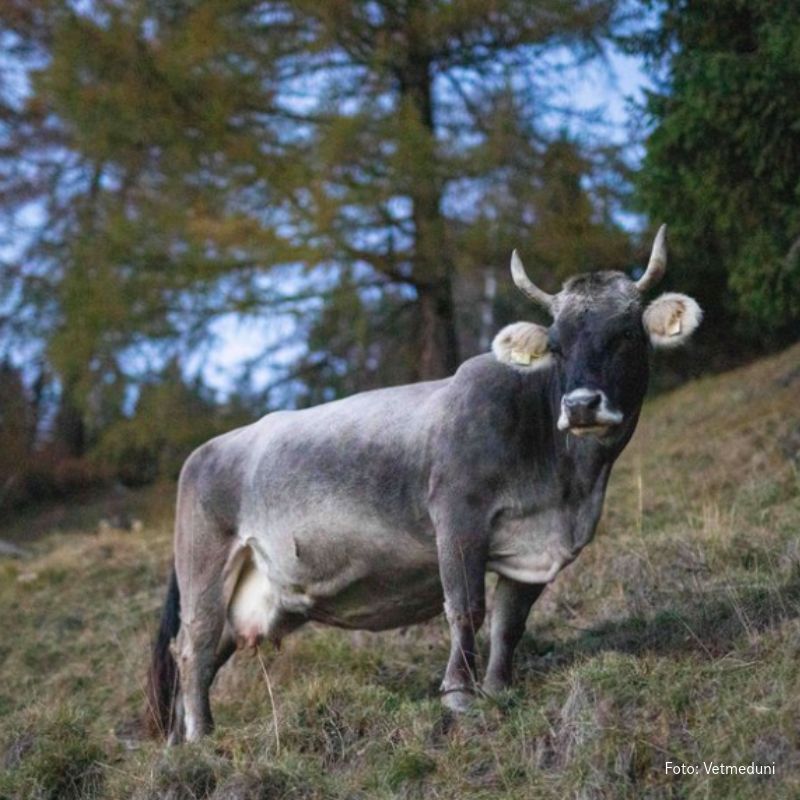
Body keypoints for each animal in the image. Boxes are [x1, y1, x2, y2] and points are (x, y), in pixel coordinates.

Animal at [146, 225, 701, 743]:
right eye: (557, 346)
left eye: (626, 334)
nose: (582, 405)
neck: (569, 486)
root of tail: (205, 450)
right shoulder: (458, 515)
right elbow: (465, 608)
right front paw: (459, 695)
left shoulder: (535, 548)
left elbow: (509, 621)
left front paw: (498, 690)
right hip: (204, 565)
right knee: (192, 648)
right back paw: (200, 736)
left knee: (202, 655)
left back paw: (181, 740)